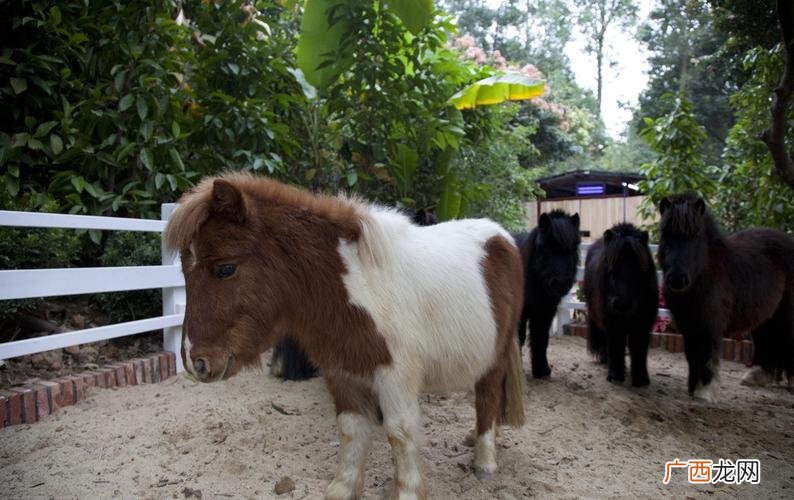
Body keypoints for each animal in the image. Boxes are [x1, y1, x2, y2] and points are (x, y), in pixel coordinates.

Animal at [514, 210, 581, 378]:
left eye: (572, 248)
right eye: (546, 248)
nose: (560, 283)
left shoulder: (544, 312)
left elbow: (541, 339)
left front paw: (541, 370)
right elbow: (520, 338)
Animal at [584, 224, 659, 387]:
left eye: (639, 268)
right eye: (611, 269)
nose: (622, 304)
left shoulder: (642, 324)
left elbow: (639, 349)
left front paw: (641, 380)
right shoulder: (613, 324)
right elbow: (616, 346)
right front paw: (616, 375)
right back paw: (605, 360)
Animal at [658, 194, 794, 402]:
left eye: (695, 235)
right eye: (665, 234)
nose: (677, 279)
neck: (705, 273)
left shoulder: (709, 324)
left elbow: (707, 354)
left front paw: (705, 392)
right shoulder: (688, 323)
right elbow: (692, 354)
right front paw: (693, 389)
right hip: (767, 316)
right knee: (767, 340)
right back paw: (756, 376)